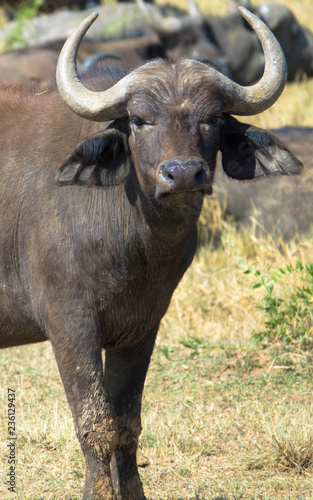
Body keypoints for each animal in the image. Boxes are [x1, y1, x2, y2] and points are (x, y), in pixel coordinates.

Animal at [0, 7, 302, 500]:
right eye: (140, 120)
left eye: (212, 118)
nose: (183, 174)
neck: (135, 246)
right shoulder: (69, 324)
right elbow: (96, 424)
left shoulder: (141, 326)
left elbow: (127, 425)